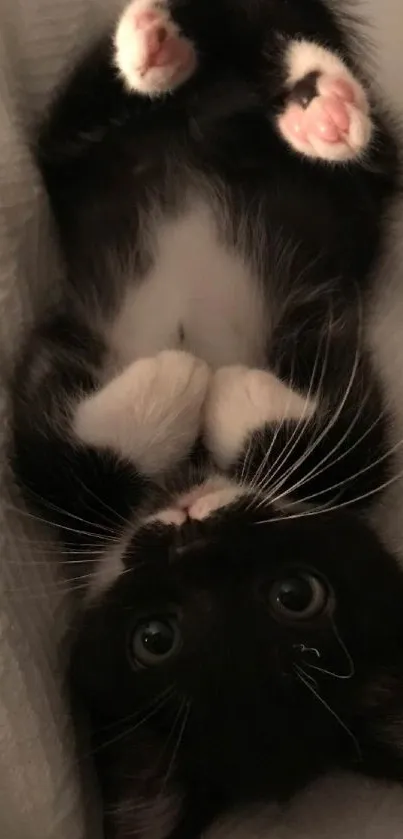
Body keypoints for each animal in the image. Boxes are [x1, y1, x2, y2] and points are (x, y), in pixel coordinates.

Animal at [9, 0, 403, 836]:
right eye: (153, 638)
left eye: (296, 594)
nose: (188, 533)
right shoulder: (55, 365)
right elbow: (45, 458)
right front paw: (188, 383)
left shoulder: (326, 324)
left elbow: (358, 440)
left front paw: (212, 390)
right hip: (89, 153)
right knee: (124, 95)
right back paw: (199, 65)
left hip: (344, 202)